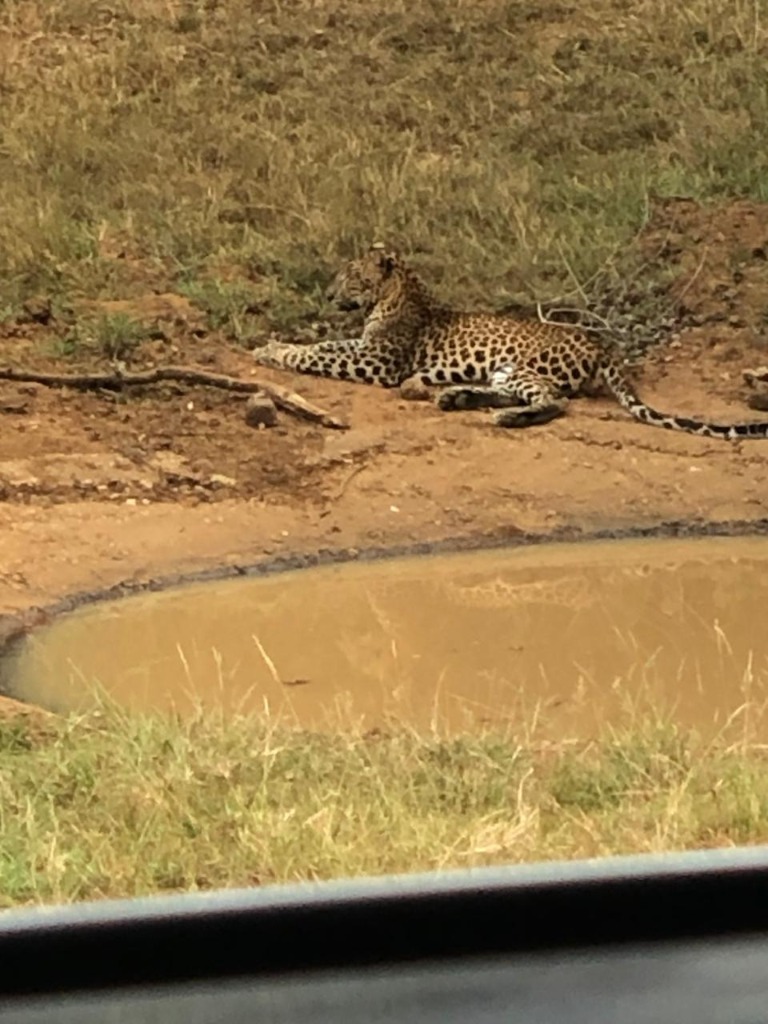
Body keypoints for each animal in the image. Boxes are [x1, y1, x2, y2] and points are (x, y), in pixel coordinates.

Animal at [253, 243, 768, 440]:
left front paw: (275, 351)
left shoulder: (378, 362)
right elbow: (325, 346)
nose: (328, 294)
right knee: (518, 393)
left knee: (554, 401)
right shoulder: (366, 350)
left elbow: (319, 354)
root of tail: (601, 345)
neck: (397, 293)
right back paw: (458, 397)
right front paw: (274, 344)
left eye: (351, 277)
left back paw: (505, 416)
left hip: (524, 365)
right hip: (504, 369)